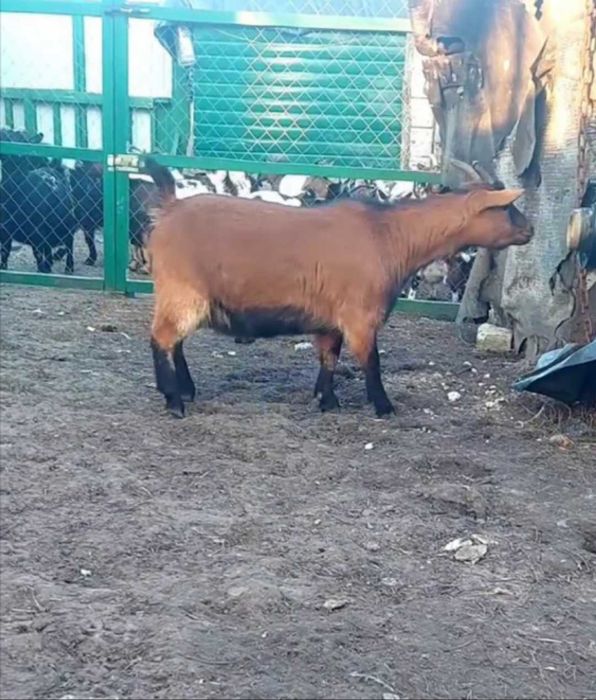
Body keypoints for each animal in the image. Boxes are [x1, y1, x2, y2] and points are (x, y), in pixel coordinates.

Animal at [145, 164, 533, 418]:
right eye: (505, 206)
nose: (530, 229)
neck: (390, 235)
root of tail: (170, 207)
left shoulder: (330, 320)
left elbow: (329, 358)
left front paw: (326, 401)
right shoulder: (360, 318)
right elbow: (371, 362)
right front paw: (384, 407)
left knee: (175, 341)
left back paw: (186, 390)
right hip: (182, 292)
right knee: (162, 338)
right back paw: (174, 401)